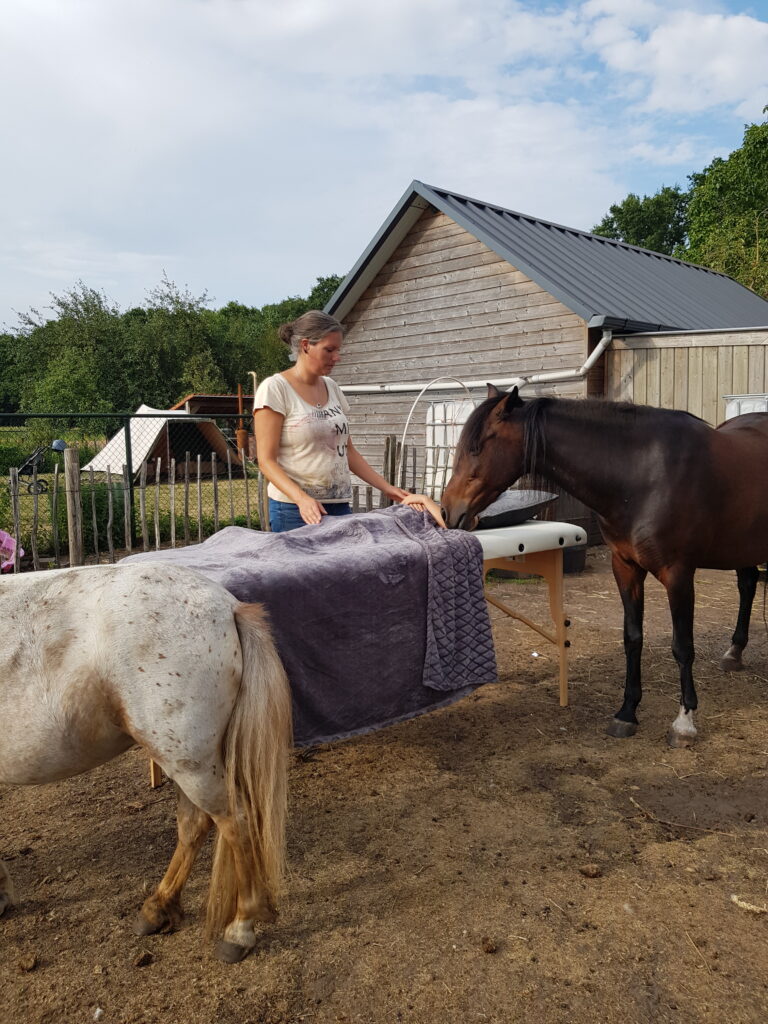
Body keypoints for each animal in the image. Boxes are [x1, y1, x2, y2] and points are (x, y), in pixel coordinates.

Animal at [0, 562, 292, 962]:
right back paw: (158, 908)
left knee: (236, 823)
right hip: (187, 759)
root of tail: (227, 606)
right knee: (195, 823)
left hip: (188, 760)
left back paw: (239, 929)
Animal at [442, 384, 768, 747]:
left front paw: (684, 722)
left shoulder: (678, 574)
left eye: (476, 446)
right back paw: (734, 653)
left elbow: (683, 646)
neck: (642, 475)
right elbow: (632, 638)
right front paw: (627, 713)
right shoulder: (625, 568)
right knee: (748, 584)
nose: (447, 510)